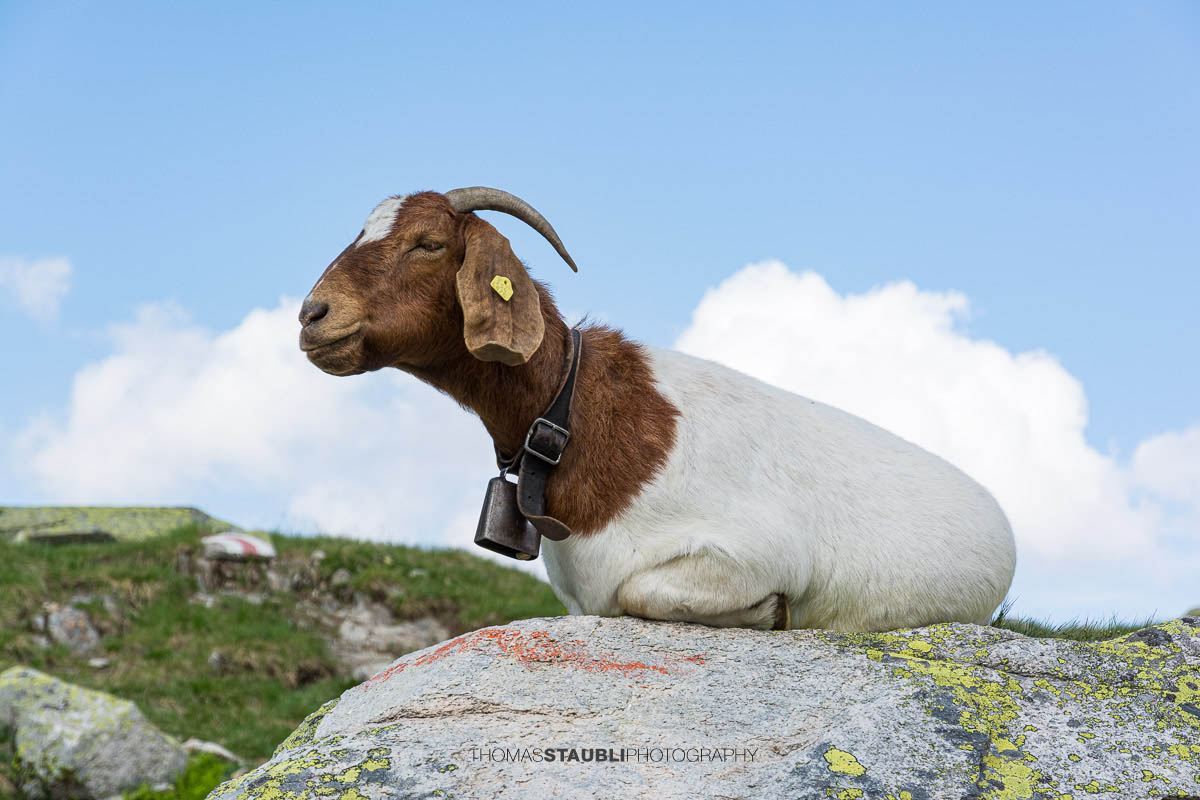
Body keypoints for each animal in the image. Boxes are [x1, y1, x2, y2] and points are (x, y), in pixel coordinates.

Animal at [298, 187, 1016, 631]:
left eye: (427, 243)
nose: (313, 315)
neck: (576, 412)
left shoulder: (753, 552)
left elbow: (639, 591)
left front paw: (769, 614)